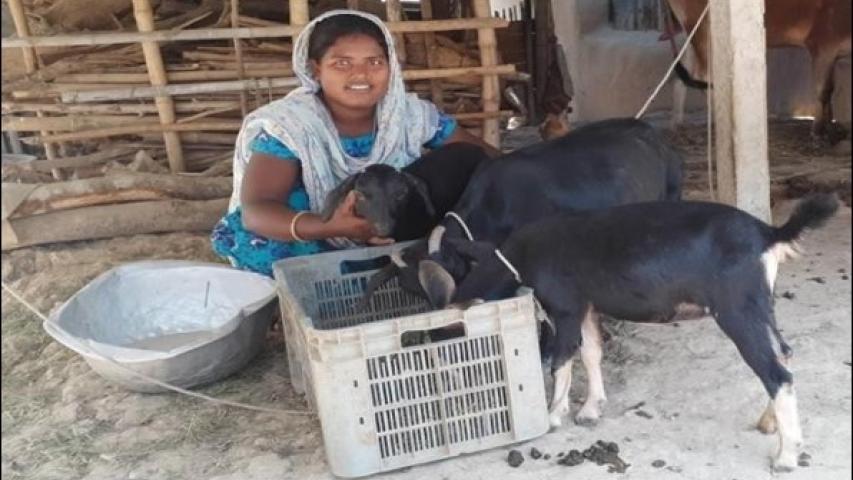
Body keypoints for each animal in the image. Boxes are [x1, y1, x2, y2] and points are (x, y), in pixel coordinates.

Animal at [419, 194, 839, 472]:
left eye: (448, 335)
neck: (520, 256)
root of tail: (769, 232)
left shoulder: (566, 306)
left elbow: (562, 358)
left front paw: (553, 416)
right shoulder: (588, 306)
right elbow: (590, 353)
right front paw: (590, 409)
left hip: (737, 307)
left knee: (775, 371)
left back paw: (786, 456)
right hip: (760, 304)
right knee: (783, 353)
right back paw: (770, 425)